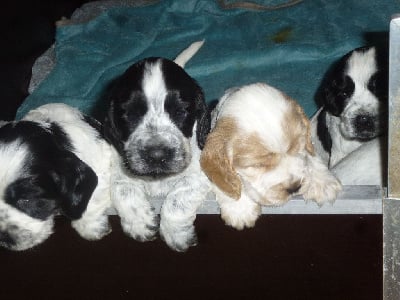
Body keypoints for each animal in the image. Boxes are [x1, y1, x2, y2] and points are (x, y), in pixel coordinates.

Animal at [103, 39, 211, 251]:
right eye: (130, 114)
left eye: (181, 112)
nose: (156, 155)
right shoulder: (118, 165)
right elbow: (122, 188)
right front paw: (140, 222)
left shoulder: (204, 172)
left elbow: (180, 195)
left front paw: (175, 233)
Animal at [200, 82, 340, 230]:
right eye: (257, 165)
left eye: (298, 148)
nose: (294, 188)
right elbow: (224, 180)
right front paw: (240, 208)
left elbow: (310, 155)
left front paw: (323, 182)